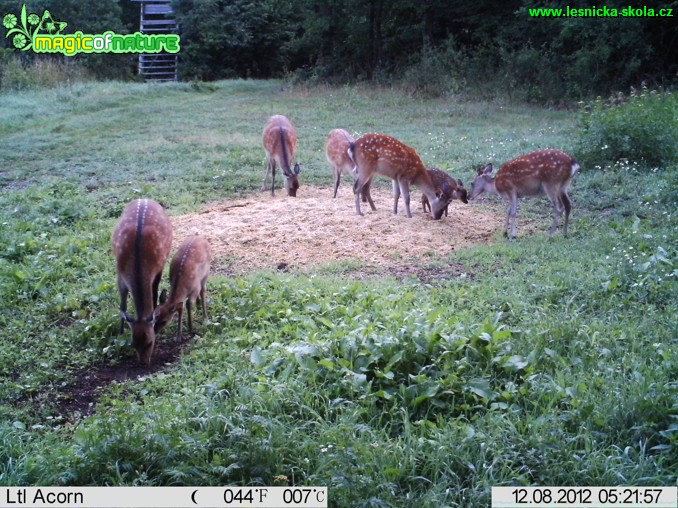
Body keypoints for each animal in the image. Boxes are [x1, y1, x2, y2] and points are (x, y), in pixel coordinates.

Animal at [111, 197, 173, 366]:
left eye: (150, 342)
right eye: (133, 344)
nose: (144, 363)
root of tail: (144, 198)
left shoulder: (159, 267)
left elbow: (154, 293)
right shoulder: (120, 274)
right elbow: (123, 305)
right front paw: (120, 334)